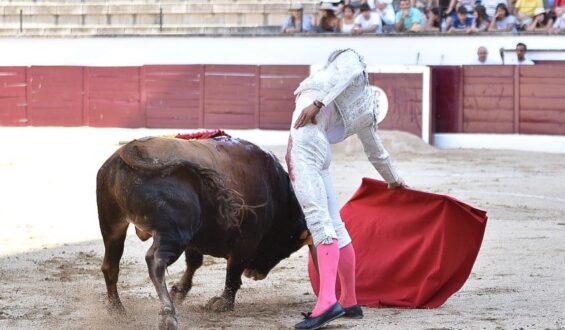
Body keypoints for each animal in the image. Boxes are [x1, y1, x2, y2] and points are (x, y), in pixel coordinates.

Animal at [96, 135, 308, 328]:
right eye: (287, 247)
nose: (255, 274)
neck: (276, 190)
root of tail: (131, 148)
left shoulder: (195, 240)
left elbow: (194, 262)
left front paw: (179, 291)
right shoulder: (246, 242)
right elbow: (233, 272)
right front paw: (223, 303)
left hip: (113, 226)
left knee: (110, 265)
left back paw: (117, 309)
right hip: (175, 232)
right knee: (155, 261)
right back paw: (168, 315)